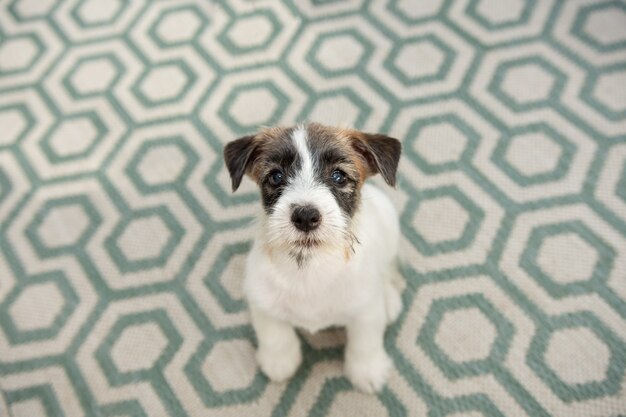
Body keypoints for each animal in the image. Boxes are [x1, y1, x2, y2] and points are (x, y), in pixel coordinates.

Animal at [222, 122, 402, 392]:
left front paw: (367, 371)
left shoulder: (365, 311)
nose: (305, 216)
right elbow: (275, 335)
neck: (310, 266)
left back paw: (389, 299)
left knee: (389, 269)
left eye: (338, 176)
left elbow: (365, 342)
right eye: (276, 177)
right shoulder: (262, 301)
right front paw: (279, 362)